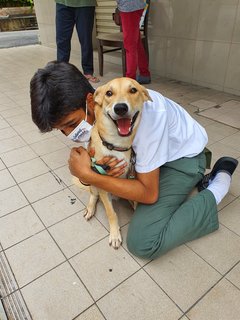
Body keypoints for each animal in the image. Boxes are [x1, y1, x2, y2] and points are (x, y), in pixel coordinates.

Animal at [84, 77, 152, 248]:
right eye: (109, 93)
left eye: (133, 90)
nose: (120, 108)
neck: (116, 145)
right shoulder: (103, 184)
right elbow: (111, 213)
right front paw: (115, 235)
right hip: (94, 182)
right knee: (93, 195)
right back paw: (90, 209)